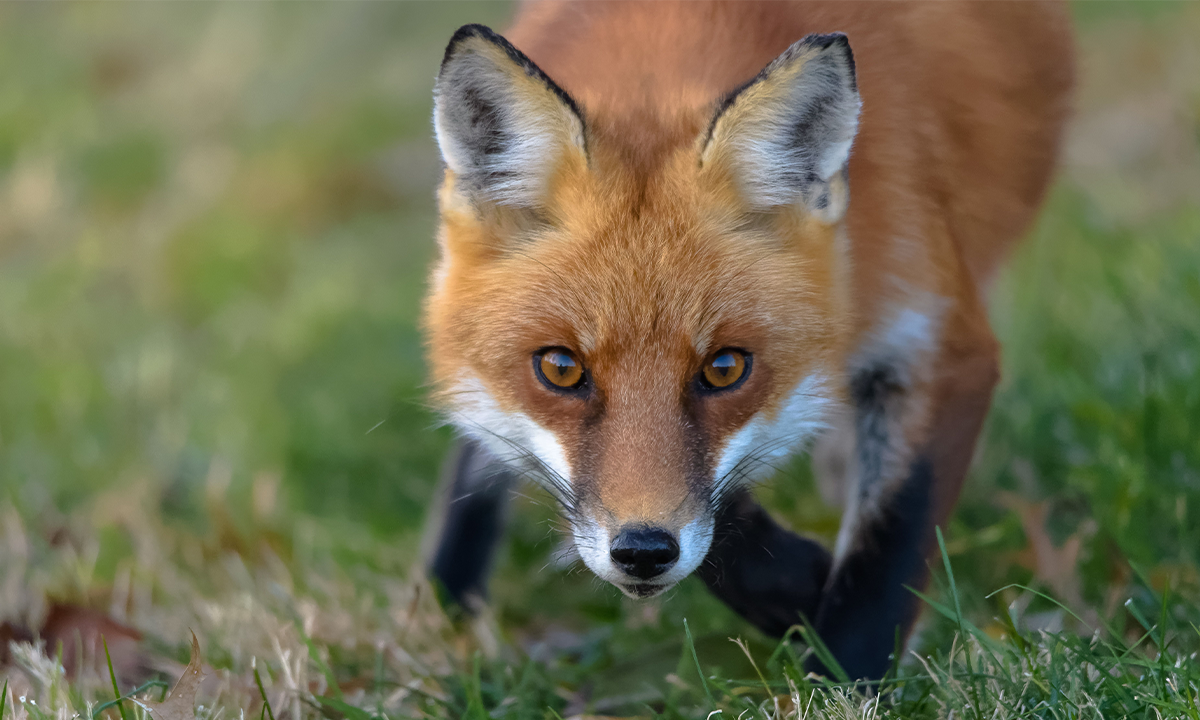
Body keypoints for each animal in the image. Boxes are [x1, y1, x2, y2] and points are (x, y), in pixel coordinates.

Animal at [421, 0, 1073, 681]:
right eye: (560, 368)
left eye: (726, 368)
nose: (643, 552)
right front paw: (800, 588)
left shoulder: (938, 342)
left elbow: (886, 554)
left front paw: (841, 677)